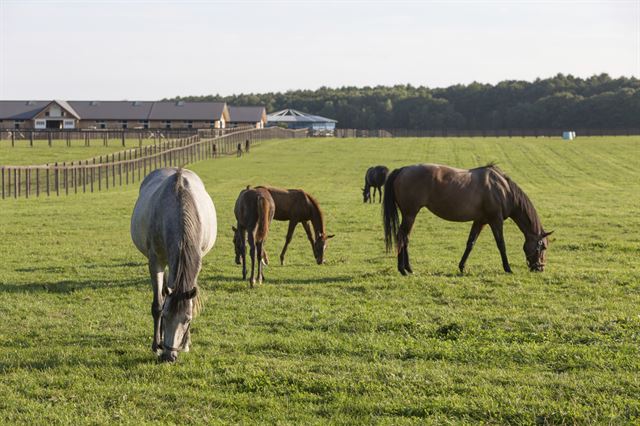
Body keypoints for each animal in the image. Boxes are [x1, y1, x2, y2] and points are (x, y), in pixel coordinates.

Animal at [131, 168, 218, 362]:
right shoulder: (156, 261)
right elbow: (158, 305)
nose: (169, 357)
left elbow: (190, 303)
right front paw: (156, 345)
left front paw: (186, 343)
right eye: (165, 316)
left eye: (187, 320)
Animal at [382, 161, 552, 274]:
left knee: (405, 238)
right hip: (410, 214)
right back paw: (403, 269)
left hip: (409, 215)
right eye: (543, 246)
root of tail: (403, 170)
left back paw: (408, 268)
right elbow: (501, 244)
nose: (540, 268)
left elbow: (470, 243)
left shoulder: (480, 221)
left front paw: (462, 267)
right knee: (402, 237)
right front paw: (508, 268)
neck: (503, 189)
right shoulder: (495, 221)